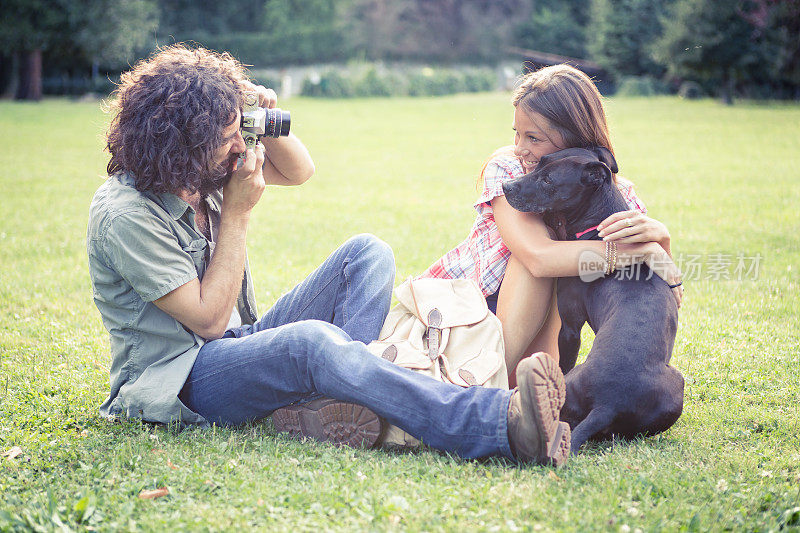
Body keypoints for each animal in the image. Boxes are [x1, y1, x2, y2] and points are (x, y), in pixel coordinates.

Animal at [500, 147, 680, 454]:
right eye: (539, 164)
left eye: (548, 180)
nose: (505, 187)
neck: (599, 224)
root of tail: (609, 403)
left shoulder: (570, 327)